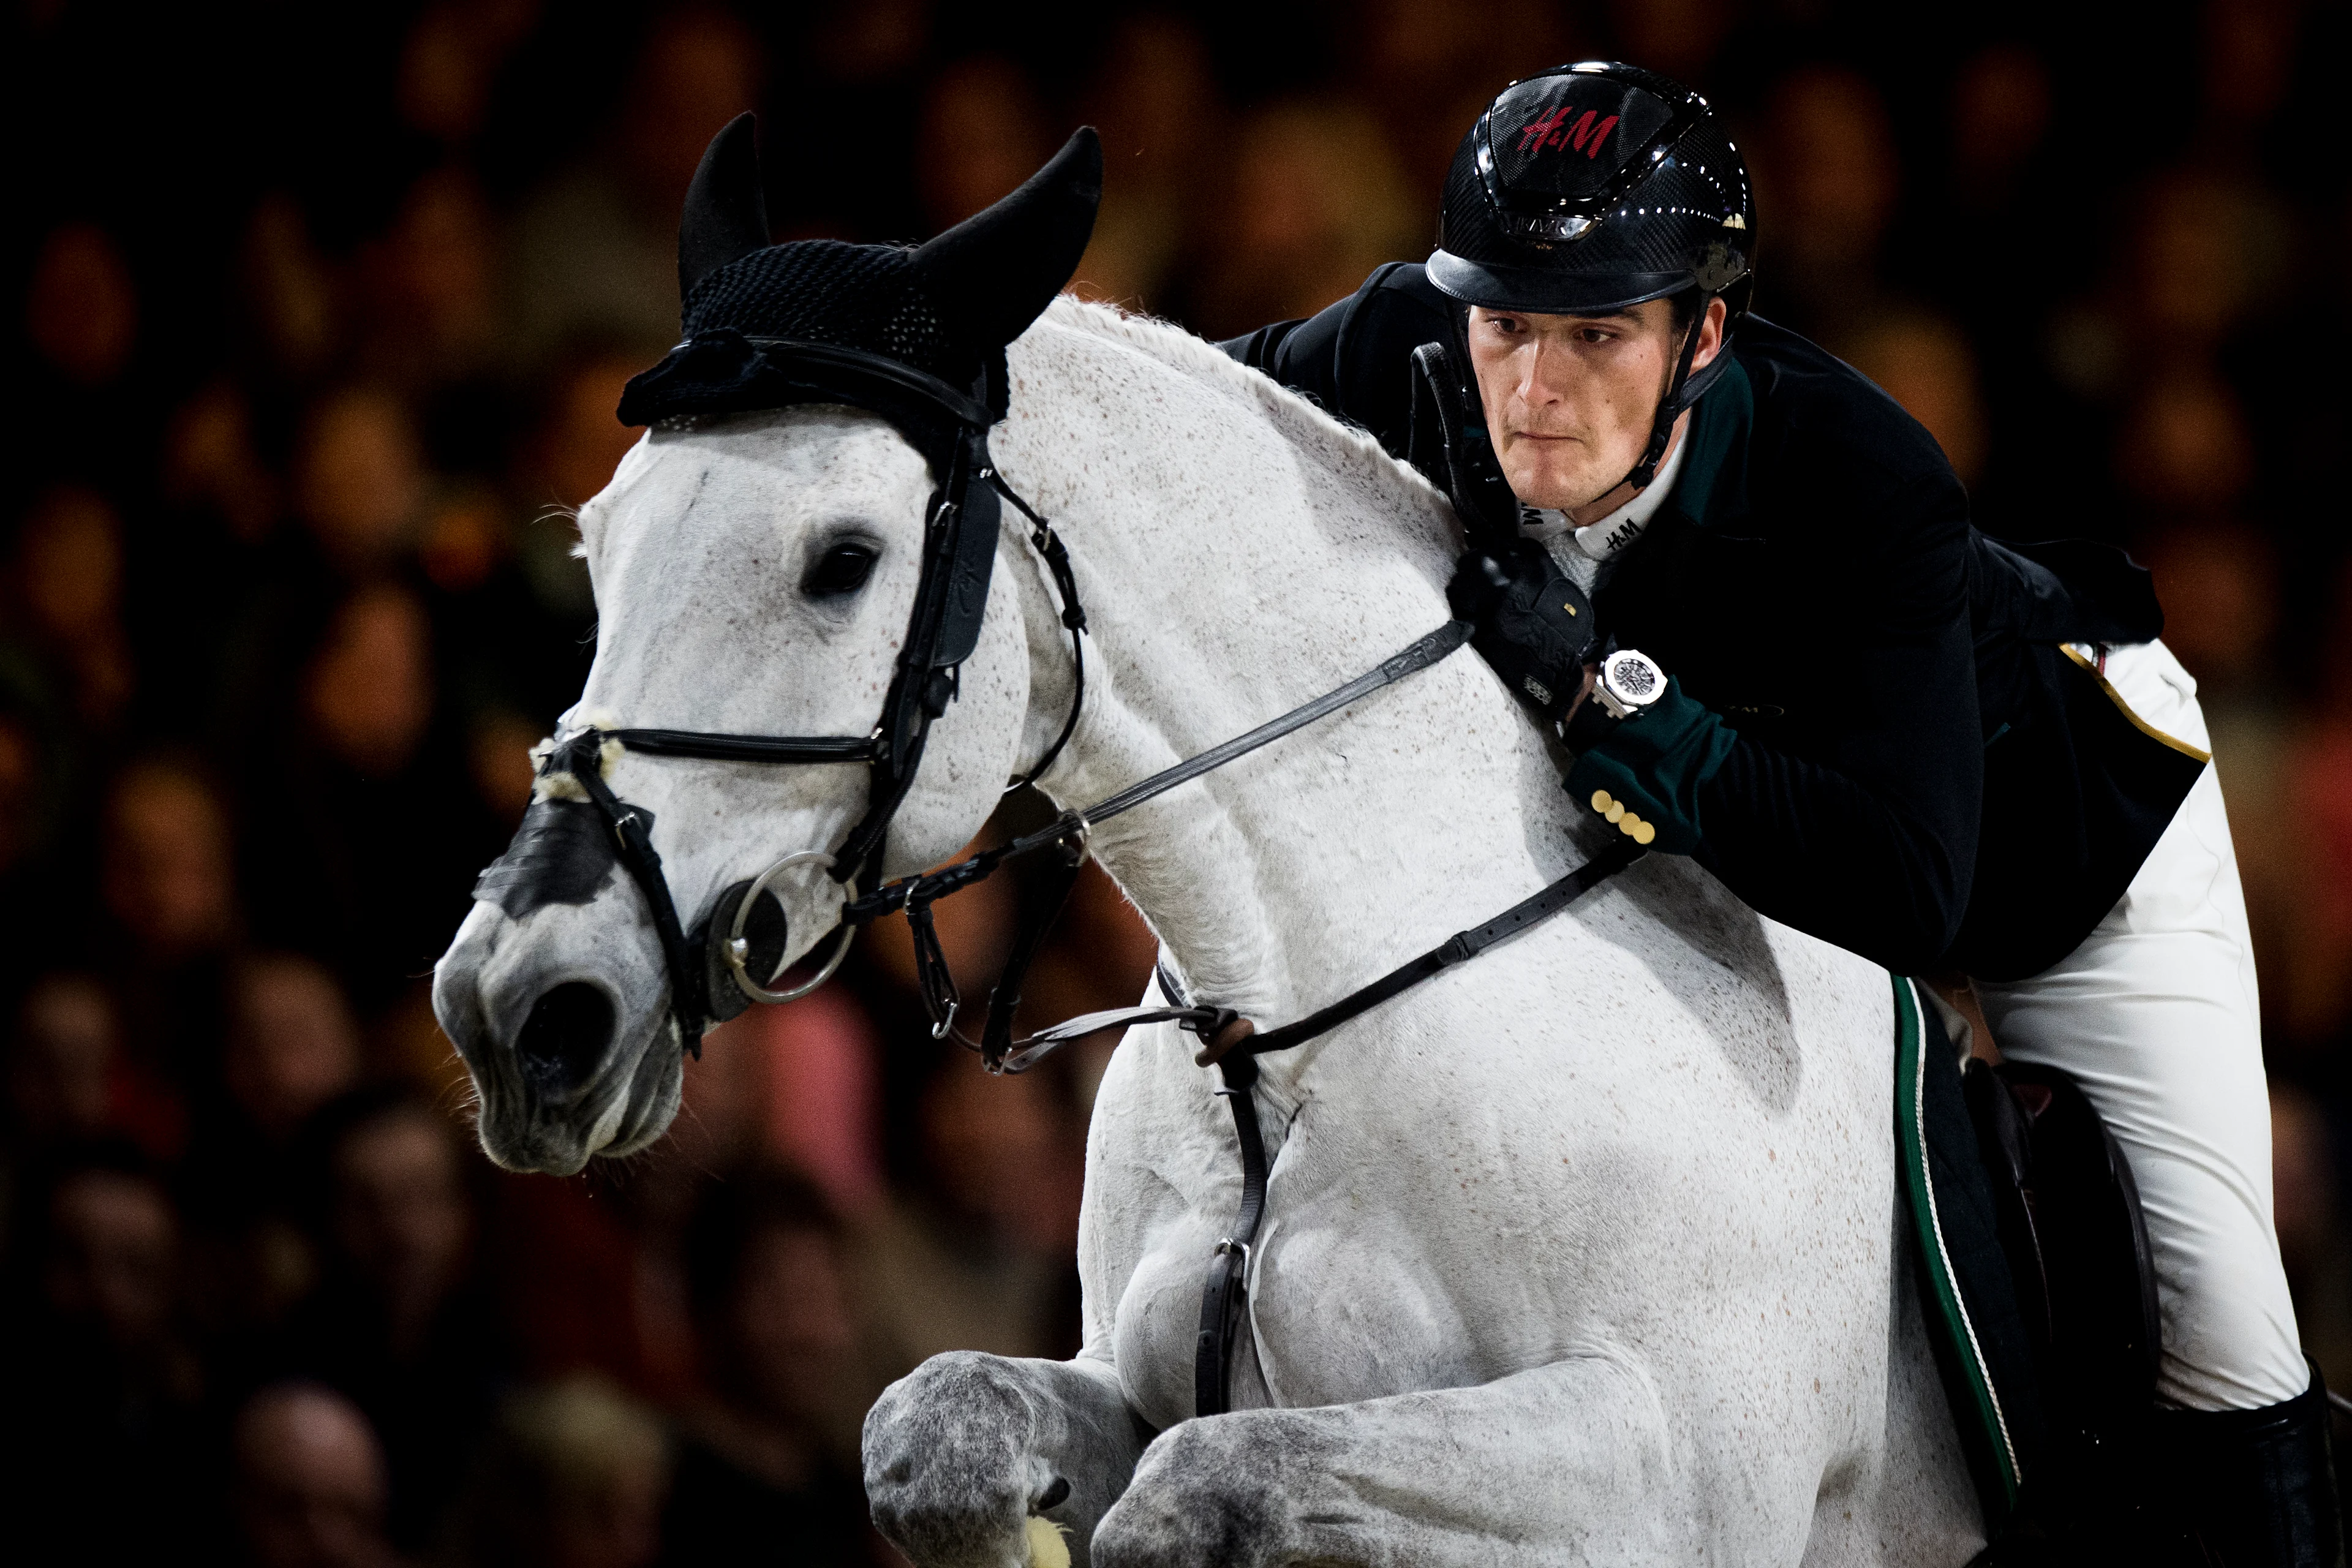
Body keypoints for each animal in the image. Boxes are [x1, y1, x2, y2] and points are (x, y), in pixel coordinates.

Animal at [428, 297, 1985, 1568]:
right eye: (598, 549)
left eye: (842, 559)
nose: (519, 1010)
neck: (1307, 1036)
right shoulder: (1127, 1373)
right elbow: (940, 1437)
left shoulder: (1668, 1472)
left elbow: (1201, 1492)